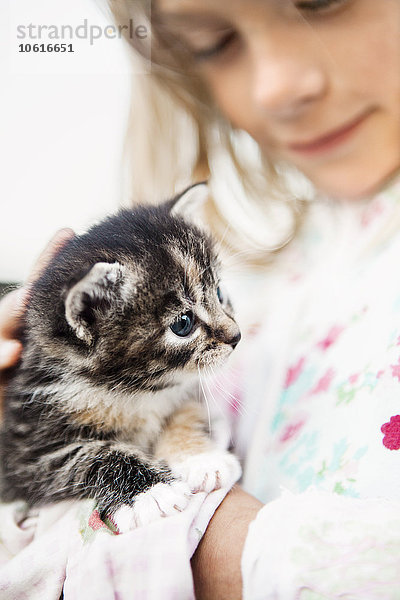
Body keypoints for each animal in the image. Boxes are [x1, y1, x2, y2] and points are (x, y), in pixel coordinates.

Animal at [0, 184, 241, 528]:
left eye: (220, 293)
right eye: (183, 323)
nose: (236, 336)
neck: (131, 389)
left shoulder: (185, 388)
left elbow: (185, 410)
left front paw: (201, 458)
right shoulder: (22, 452)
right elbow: (92, 456)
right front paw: (151, 492)